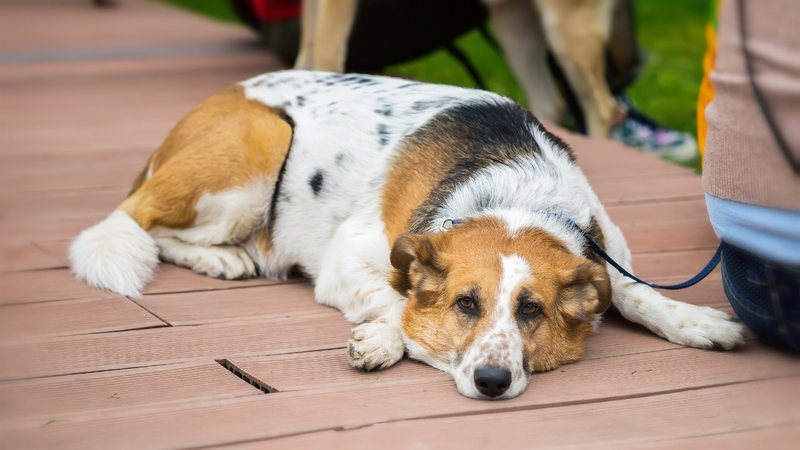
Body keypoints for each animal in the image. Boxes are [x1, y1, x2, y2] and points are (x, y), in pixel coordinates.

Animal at [69, 71, 744, 400]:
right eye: (465, 304)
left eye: (532, 311)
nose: (493, 382)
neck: (515, 196)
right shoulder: (347, 260)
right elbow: (398, 300)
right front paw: (387, 339)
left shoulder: (604, 253)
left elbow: (638, 294)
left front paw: (696, 322)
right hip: (260, 147)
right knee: (138, 219)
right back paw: (221, 259)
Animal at [296, 0, 624, 139]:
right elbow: (307, 49)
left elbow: (324, 52)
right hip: (513, 28)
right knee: (549, 102)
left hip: (566, 29)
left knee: (605, 109)